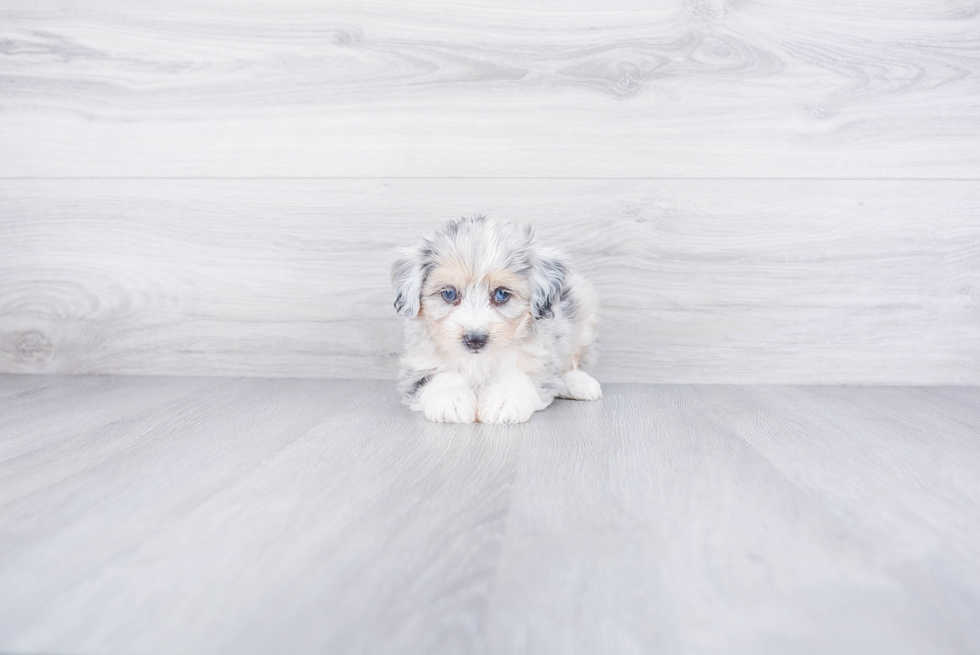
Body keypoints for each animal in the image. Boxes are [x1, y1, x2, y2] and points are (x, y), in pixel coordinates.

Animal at [388, 217, 596, 426]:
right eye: (449, 293)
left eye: (501, 293)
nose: (474, 339)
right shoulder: (418, 365)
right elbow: (441, 376)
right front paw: (452, 399)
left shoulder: (539, 361)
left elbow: (517, 375)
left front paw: (504, 401)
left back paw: (577, 382)